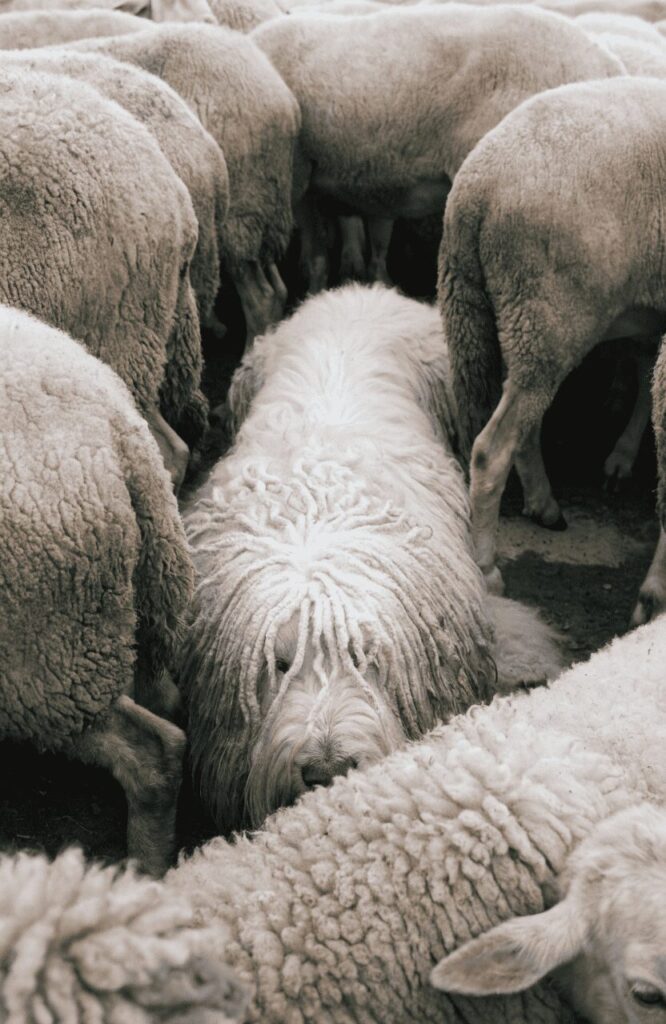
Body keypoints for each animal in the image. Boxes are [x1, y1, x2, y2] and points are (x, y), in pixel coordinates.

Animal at [438, 76, 666, 603]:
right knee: (491, 449)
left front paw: (622, 459)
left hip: (496, 310)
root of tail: (475, 190)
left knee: (518, 423)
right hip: (547, 315)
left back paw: (542, 504)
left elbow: (647, 376)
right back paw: (487, 569)